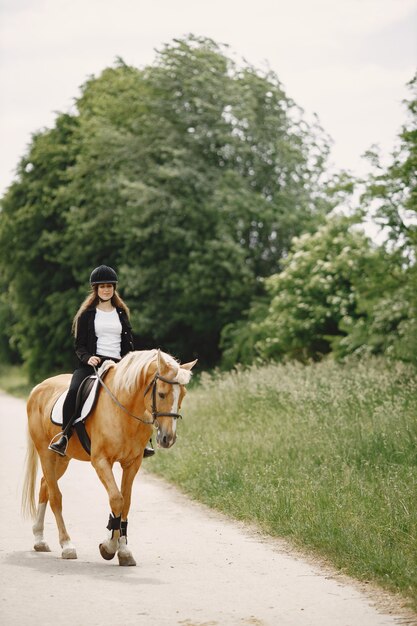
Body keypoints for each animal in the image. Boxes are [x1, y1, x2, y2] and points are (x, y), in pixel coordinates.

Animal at [22, 348, 197, 564]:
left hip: (62, 459)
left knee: (45, 486)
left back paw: (39, 539)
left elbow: (126, 502)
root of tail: (38, 388)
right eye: (162, 394)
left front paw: (123, 550)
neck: (124, 411)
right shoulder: (101, 461)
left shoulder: (132, 464)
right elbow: (116, 499)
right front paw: (109, 546)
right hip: (46, 453)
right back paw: (67, 545)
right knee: (55, 496)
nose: (168, 438)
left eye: (183, 395)